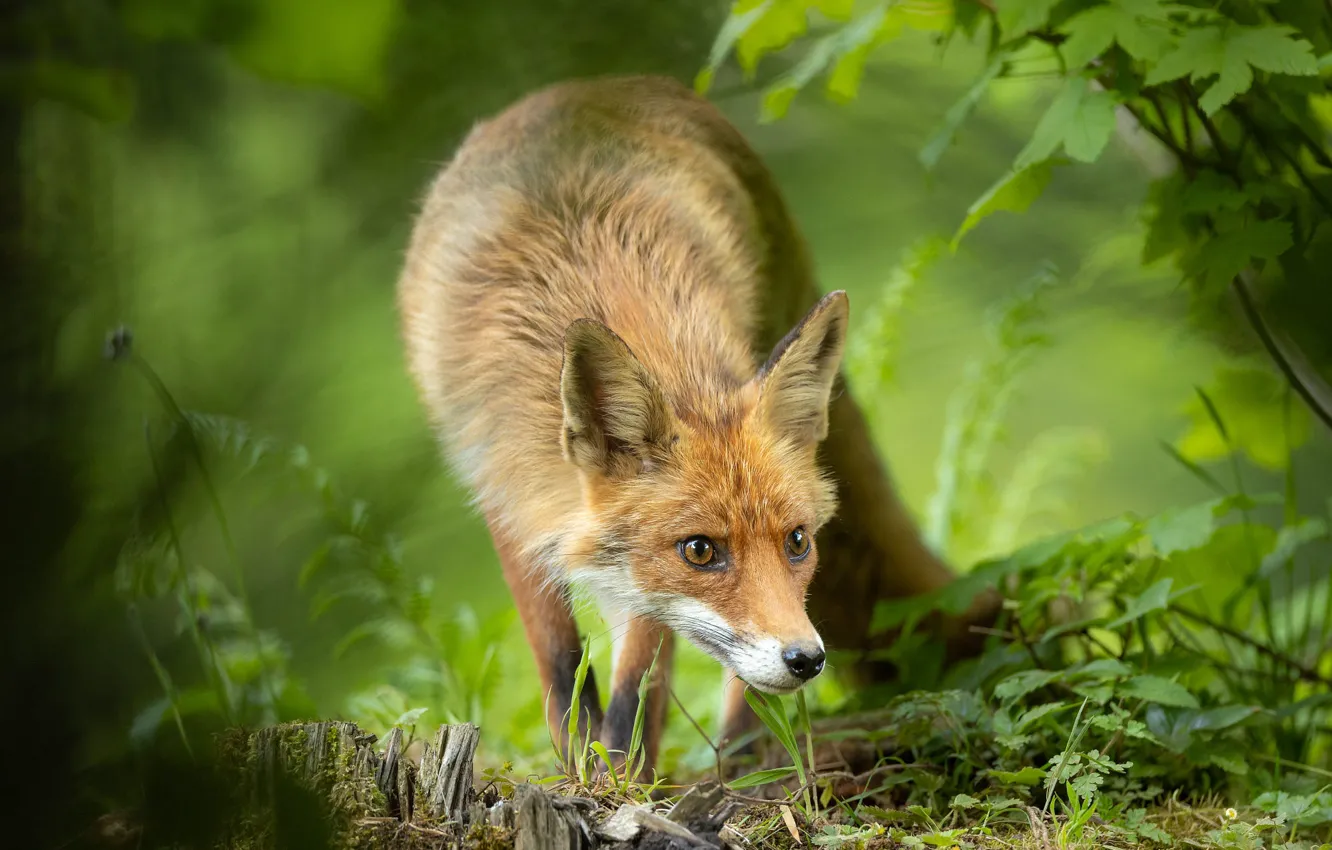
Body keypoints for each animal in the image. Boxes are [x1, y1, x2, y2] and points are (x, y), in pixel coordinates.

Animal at [397, 74, 854, 774]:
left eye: (798, 541)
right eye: (701, 550)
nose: (807, 659)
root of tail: (596, 83)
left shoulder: (644, 586)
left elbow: (640, 675)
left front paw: (624, 773)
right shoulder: (505, 492)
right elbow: (560, 668)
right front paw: (582, 764)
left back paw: (742, 758)